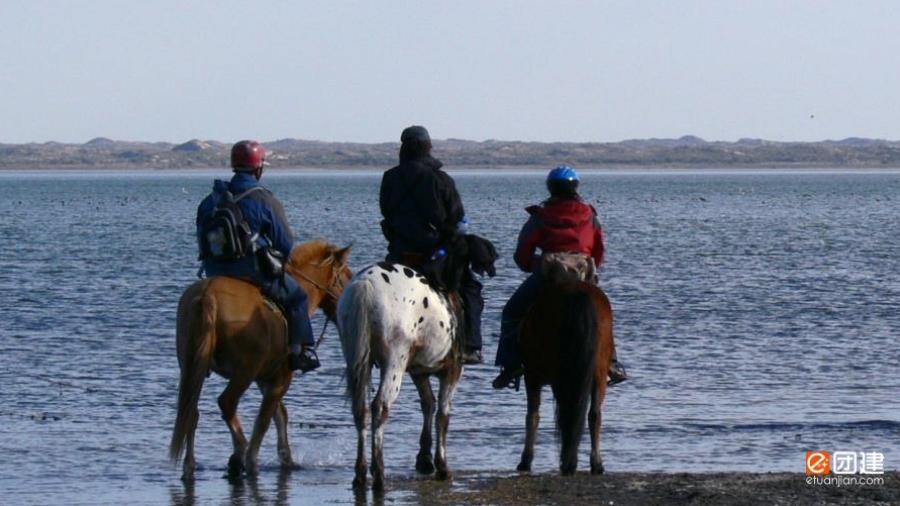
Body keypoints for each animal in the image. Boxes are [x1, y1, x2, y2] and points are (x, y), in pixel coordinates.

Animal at [169, 239, 352, 480]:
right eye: (348, 277)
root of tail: (207, 296)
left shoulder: (265, 378)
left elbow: (279, 414)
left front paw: (287, 458)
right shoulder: (280, 378)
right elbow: (266, 419)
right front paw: (254, 458)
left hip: (191, 367)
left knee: (190, 409)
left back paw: (191, 464)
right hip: (244, 371)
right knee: (227, 403)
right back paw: (240, 452)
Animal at [336, 262, 464, 492]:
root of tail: (365, 285)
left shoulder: (418, 372)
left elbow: (428, 404)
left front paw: (424, 459)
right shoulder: (452, 371)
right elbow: (443, 415)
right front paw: (441, 466)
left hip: (357, 358)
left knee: (360, 410)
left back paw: (360, 473)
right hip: (394, 362)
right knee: (380, 406)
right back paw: (378, 472)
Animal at [516, 270, 616, 476]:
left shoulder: (532, 375)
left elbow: (533, 415)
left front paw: (526, 461)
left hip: (557, 375)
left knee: (565, 412)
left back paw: (568, 462)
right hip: (597, 373)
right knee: (593, 414)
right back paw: (595, 463)